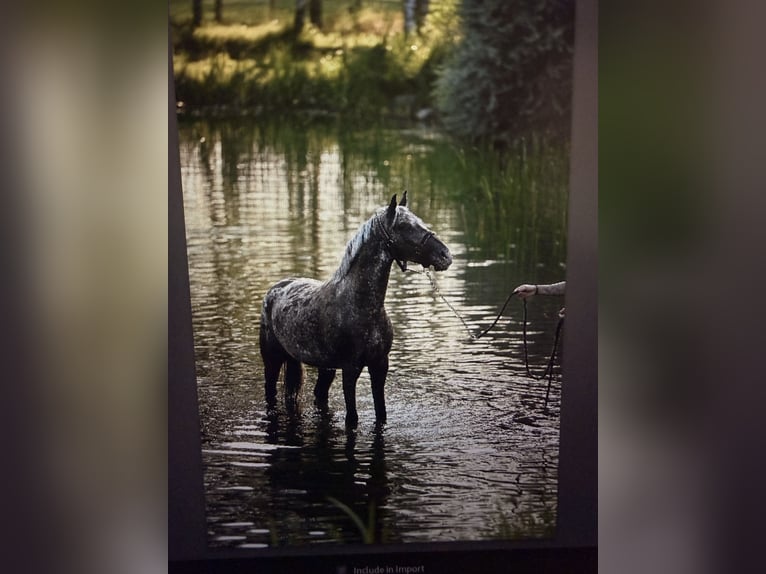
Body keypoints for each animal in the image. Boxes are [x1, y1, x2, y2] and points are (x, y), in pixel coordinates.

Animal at [259, 192, 452, 428]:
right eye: (405, 226)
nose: (445, 255)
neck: (362, 307)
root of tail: (276, 289)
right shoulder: (350, 370)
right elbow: (352, 419)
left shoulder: (380, 365)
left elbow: (381, 413)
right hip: (272, 361)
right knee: (270, 392)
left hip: (325, 368)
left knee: (319, 394)